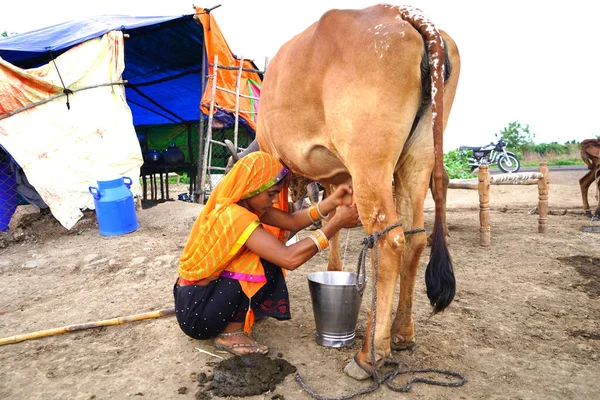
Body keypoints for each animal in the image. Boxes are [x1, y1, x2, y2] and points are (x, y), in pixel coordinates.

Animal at [256, 3, 460, 378]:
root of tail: (403, 13)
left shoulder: (276, 157)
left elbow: (277, 219)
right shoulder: (336, 177)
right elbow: (331, 219)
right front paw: (334, 266)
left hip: (370, 161)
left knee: (390, 240)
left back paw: (369, 355)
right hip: (418, 158)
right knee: (415, 238)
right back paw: (401, 333)